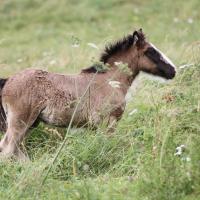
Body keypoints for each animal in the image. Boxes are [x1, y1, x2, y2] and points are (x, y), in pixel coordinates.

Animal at [0, 28, 175, 160]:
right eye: (150, 51)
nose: (172, 71)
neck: (109, 80)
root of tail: (8, 81)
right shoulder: (108, 123)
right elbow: (110, 146)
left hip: (31, 123)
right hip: (20, 121)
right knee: (8, 149)